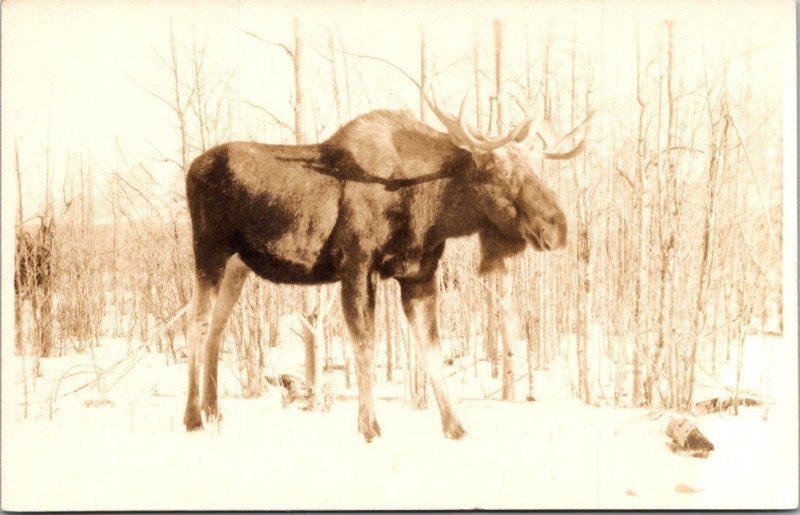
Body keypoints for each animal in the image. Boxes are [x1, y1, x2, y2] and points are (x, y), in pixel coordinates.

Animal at [184, 90, 592, 442]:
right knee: (197, 324)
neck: (430, 211)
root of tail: (191, 169)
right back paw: (193, 417)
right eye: (499, 172)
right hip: (208, 252)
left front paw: (455, 426)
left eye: (535, 167)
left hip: (238, 265)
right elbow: (366, 344)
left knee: (217, 327)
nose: (558, 227)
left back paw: (214, 410)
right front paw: (369, 426)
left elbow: (431, 347)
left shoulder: (419, 274)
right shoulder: (356, 266)